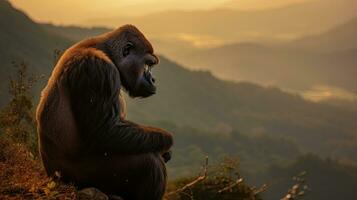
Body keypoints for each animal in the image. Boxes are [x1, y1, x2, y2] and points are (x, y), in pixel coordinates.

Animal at [36, 25, 173, 200]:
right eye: (147, 64)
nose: (153, 79)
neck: (106, 51)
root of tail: (53, 177)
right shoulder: (97, 67)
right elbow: (106, 132)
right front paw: (166, 142)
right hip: (79, 180)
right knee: (149, 163)